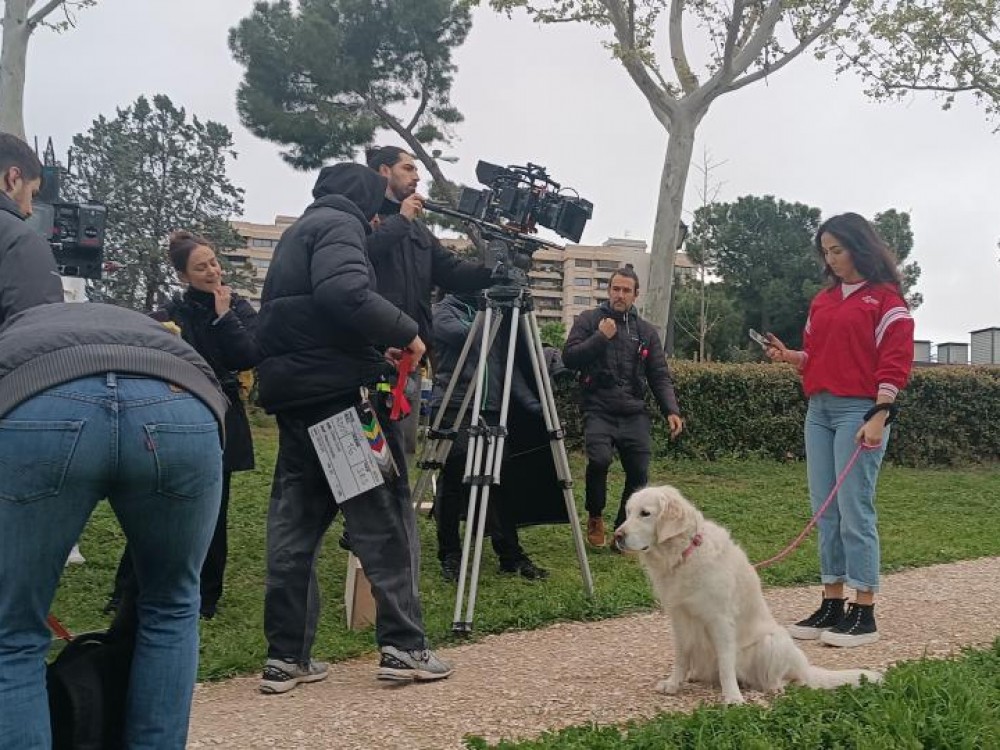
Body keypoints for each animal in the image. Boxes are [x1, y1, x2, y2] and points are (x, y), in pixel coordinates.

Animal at [614, 485, 882, 704]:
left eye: (645, 513)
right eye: (628, 512)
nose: (617, 536)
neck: (684, 554)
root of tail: (805, 666)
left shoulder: (720, 620)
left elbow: (725, 664)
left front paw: (732, 698)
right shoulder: (679, 617)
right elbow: (681, 656)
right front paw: (673, 683)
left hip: (772, 641)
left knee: (785, 679)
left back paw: (775, 688)